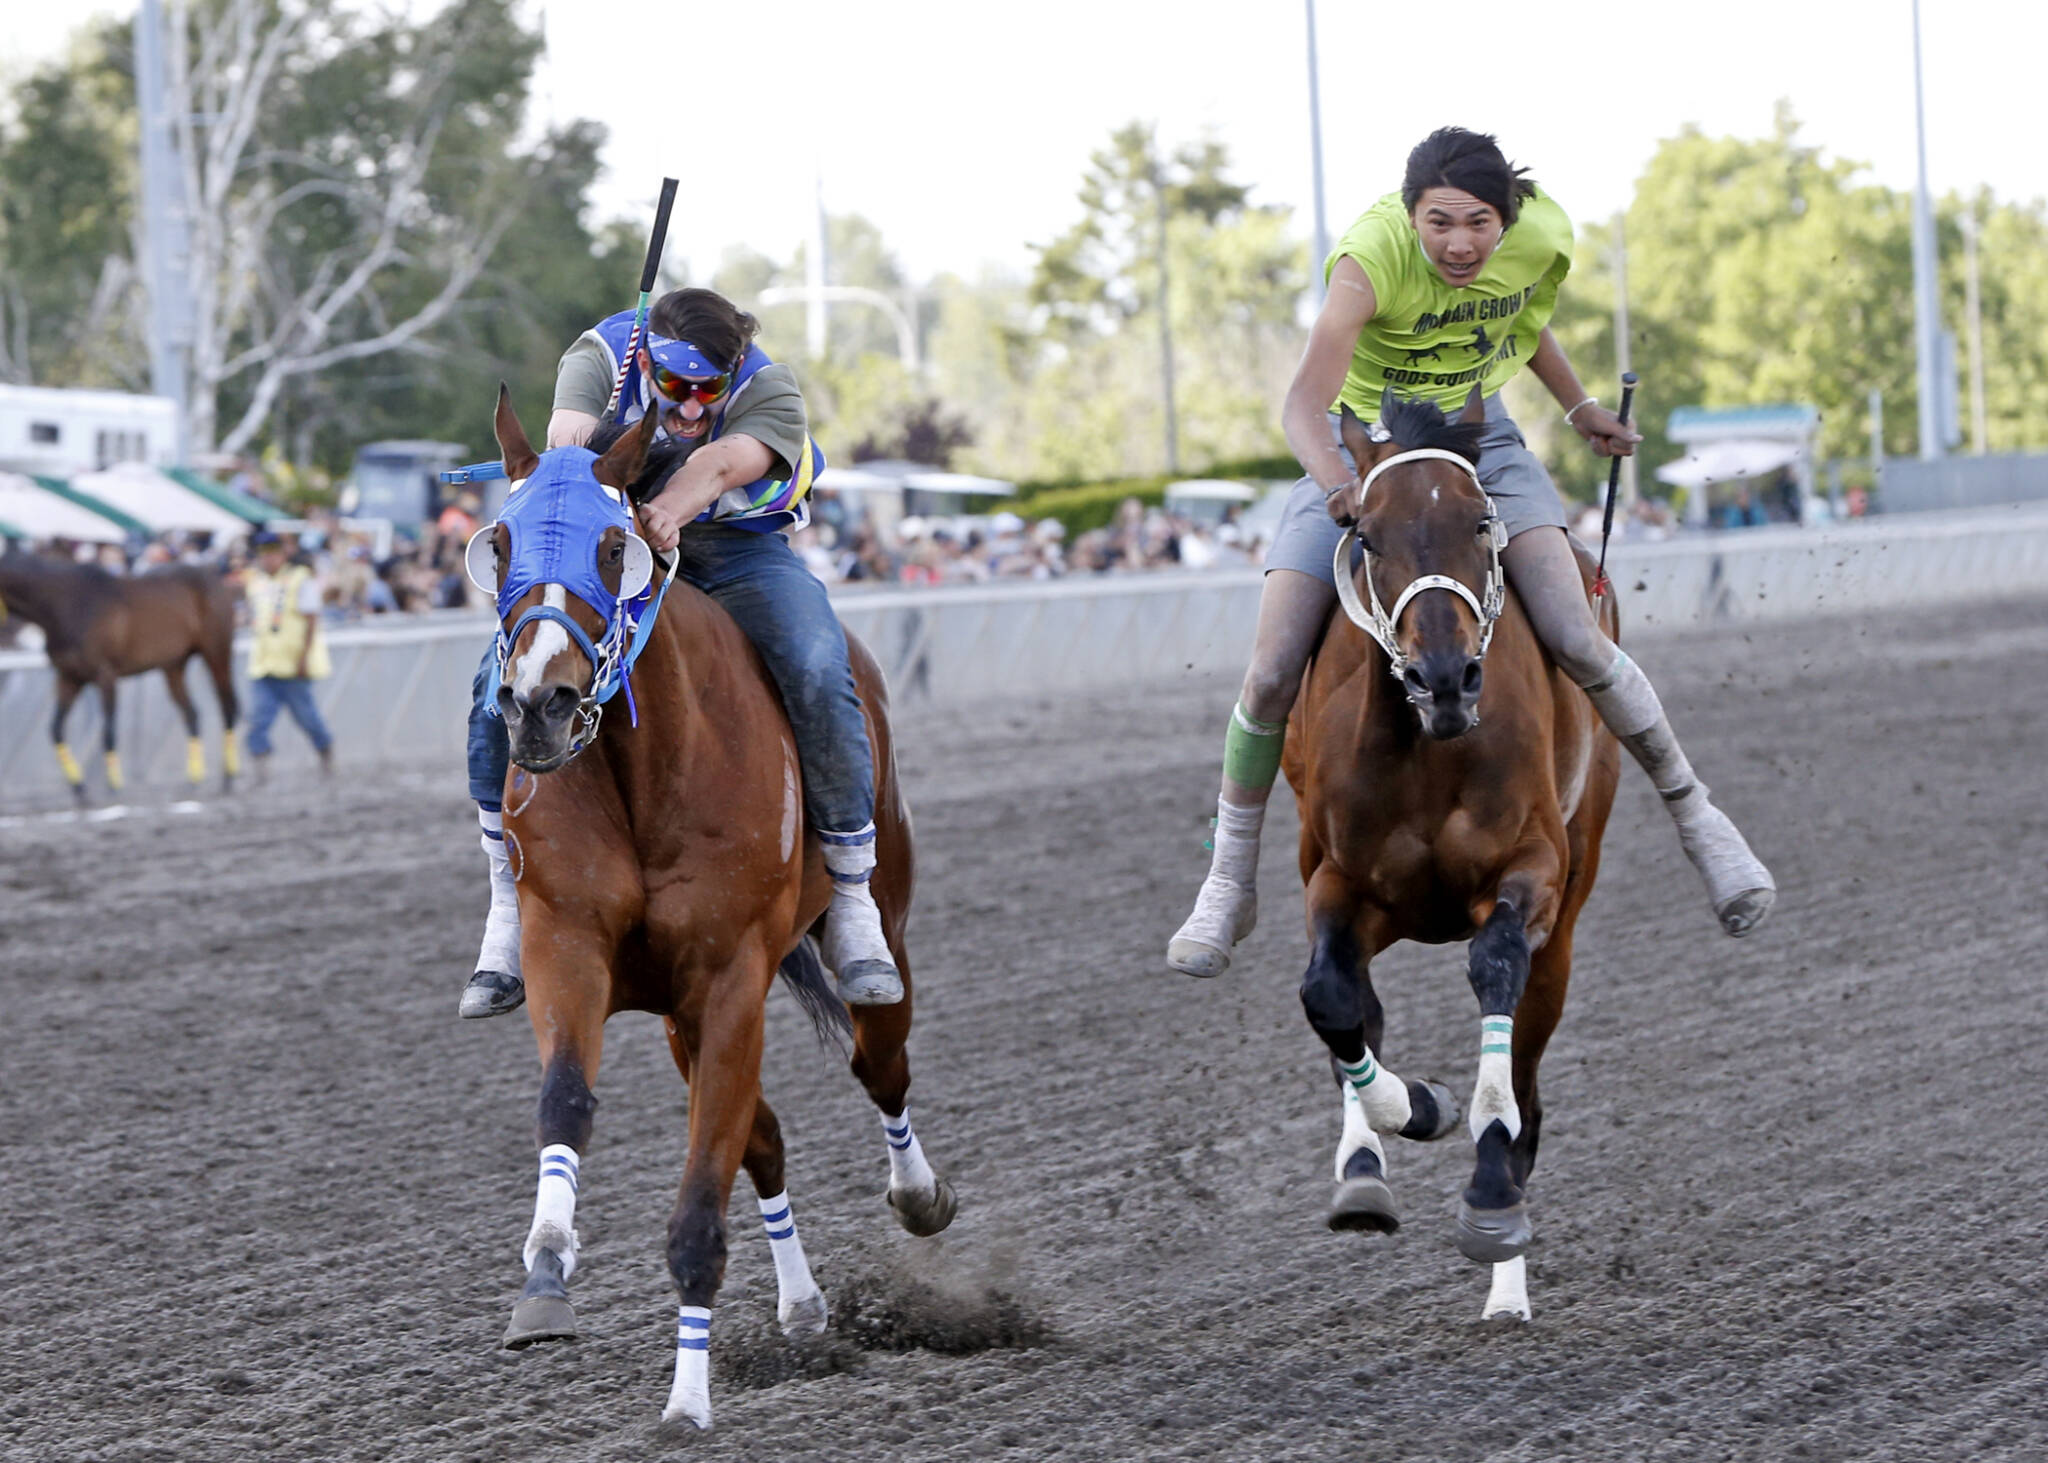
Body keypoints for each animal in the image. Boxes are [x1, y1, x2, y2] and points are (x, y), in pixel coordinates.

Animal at [0, 549, 239, 799]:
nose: (12, 641)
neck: (67, 604)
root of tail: (214, 578)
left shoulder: (105, 674)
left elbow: (109, 730)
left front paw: (113, 788)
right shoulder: (70, 677)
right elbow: (56, 729)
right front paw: (79, 788)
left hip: (216, 651)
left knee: (228, 708)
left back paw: (228, 779)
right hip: (173, 665)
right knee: (191, 714)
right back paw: (193, 780)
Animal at [475, 391, 954, 1426]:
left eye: (615, 544)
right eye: (500, 542)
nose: (538, 703)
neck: (645, 768)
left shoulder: (732, 975)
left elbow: (702, 1196)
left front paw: (687, 1400)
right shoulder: (568, 945)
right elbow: (567, 1101)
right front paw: (545, 1276)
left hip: (875, 925)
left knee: (879, 1064)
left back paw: (920, 1195)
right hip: (675, 1015)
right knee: (762, 1138)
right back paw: (805, 1305)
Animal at [1286, 387, 1622, 1319]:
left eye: (1480, 521)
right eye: (1366, 534)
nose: (1443, 677)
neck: (1429, 749)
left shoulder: (1534, 868)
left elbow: (1495, 963)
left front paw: (1491, 1193)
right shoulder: (1339, 879)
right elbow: (1330, 997)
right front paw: (1410, 1110)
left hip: (1572, 908)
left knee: (1530, 1075)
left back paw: (1507, 1272)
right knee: (1356, 1010)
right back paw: (1367, 1161)